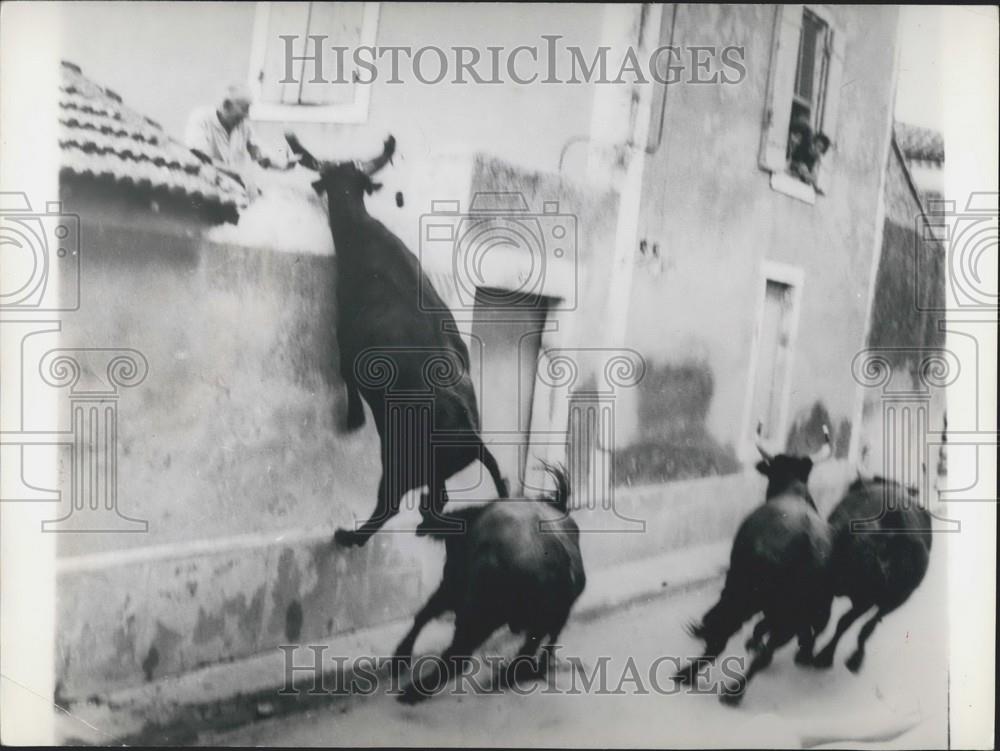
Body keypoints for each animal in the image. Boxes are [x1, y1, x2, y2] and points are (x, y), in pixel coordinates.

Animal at [286, 134, 512, 548]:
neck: (363, 234)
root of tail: (473, 438)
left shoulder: (347, 341)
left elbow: (345, 375)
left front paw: (354, 418)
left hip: (398, 463)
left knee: (391, 504)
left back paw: (350, 536)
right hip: (432, 473)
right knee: (437, 502)